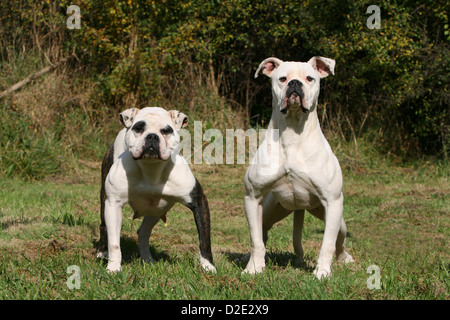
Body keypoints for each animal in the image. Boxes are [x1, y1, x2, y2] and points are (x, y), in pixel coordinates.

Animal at [244, 57, 354, 278]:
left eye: (310, 78)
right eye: (282, 78)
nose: (295, 83)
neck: (293, 132)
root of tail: (299, 208)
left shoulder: (333, 201)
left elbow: (327, 243)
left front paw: (322, 273)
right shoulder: (252, 197)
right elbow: (255, 240)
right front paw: (254, 269)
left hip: (337, 219)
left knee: (339, 241)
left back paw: (344, 260)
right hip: (271, 210)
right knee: (263, 232)